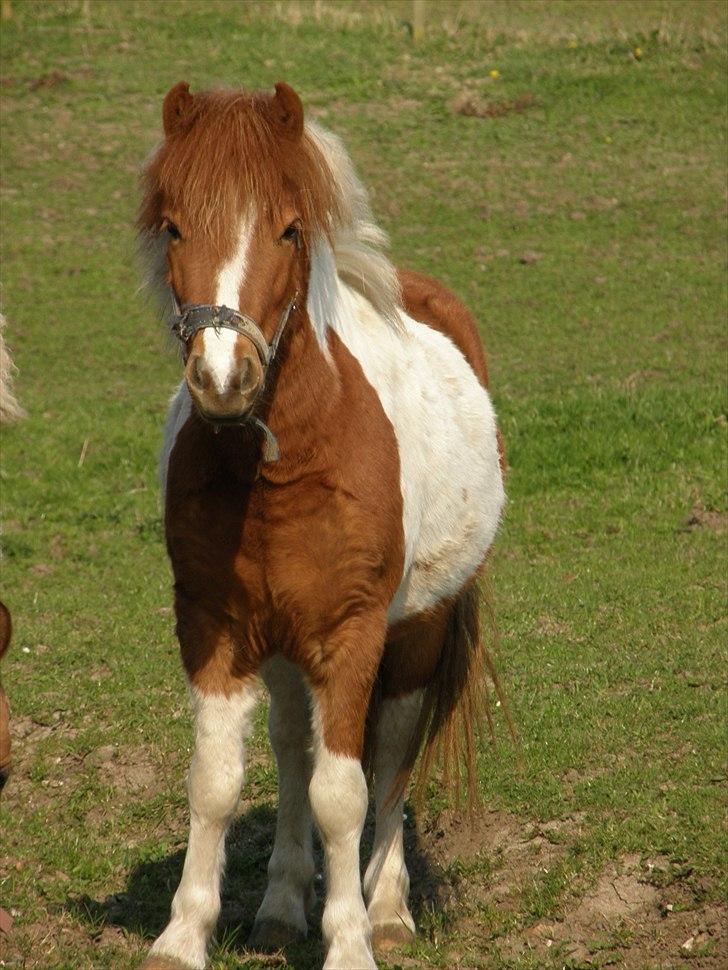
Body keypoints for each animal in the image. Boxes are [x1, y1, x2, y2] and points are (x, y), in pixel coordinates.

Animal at [139, 81, 510, 968]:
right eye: (174, 227)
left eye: (288, 228)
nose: (223, 378)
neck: (276, 472)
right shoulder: (215, 627)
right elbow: (217, 781)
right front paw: (183, 934)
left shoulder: (351, 633)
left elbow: (345, 792)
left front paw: (350, 942)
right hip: (279, 650)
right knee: (290, 746)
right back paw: (279, 908)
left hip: (413, 638)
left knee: (392, 760)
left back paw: (388, 909)